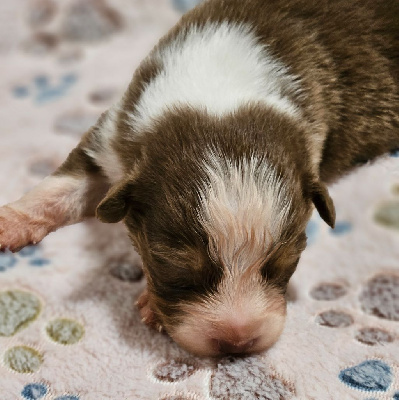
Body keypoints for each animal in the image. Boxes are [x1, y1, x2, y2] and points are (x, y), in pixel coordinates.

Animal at [0, 0, 399, 356]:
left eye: (282, 265)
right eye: (177, 270)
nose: (236, 343)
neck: (219, 88)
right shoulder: (113, 138)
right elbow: (60, 186)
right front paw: (11, 223)